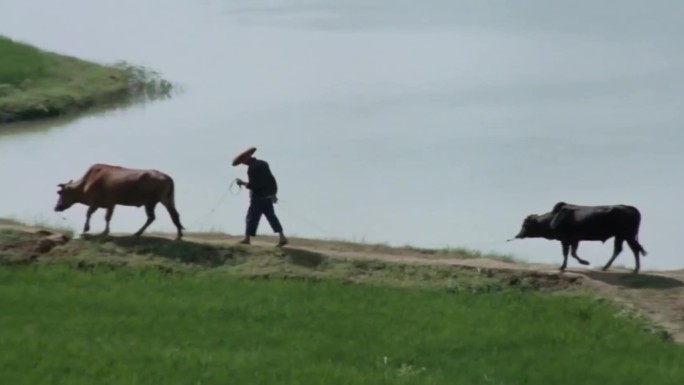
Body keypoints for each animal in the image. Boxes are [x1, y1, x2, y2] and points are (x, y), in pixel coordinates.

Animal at [53, 164, 186, 238]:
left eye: (60, 193)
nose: (56, 207)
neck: (86, 183)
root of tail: (168, 177)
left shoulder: (98, 202)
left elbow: (92, 214)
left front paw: (90, 229)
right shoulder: (110, 204)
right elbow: (107, 217)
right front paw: (104, 231)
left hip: (151, 202)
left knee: (152, 217)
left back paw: (138, 232)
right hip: (165, 199)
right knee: (173, 214)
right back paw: (179, 233)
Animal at [512, 201, 648, 272]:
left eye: (525, 225)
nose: (518, 235)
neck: (553, 218)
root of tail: (632, 208)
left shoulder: (567, 239)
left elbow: (569, 253)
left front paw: (581, 263)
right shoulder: (572, 240)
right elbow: (570, 253)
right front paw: (568, 265)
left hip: (627, 235)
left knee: (633, 249)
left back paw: (633, 269)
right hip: (621, 236)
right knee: (622, 249)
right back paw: (608, 267)